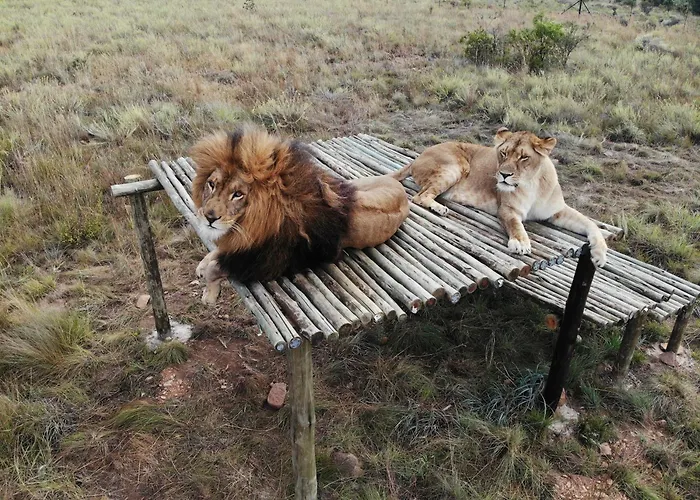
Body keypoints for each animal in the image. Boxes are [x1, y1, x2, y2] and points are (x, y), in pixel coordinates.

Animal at [190, 124, 410, 304]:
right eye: (212, 184)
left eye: (238, 194)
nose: (209, 217)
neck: (255, 223)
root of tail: (395, 184)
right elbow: (219, 252)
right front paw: (203, 264)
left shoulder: (271, 262)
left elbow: (217, 268)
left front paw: (209, 294)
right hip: (356, 184)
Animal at [392, 127, 608, 268]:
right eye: (503, 153)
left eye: (524, 157)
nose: (503, 174)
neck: (531, 184)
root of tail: (418, 157)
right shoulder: (507, 209)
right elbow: (516, 225)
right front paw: (520, 243)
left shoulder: (557, 211)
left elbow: (590, 223)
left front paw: (600, 255)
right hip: (455, 166)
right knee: (420, 196)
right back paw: (439, 208)